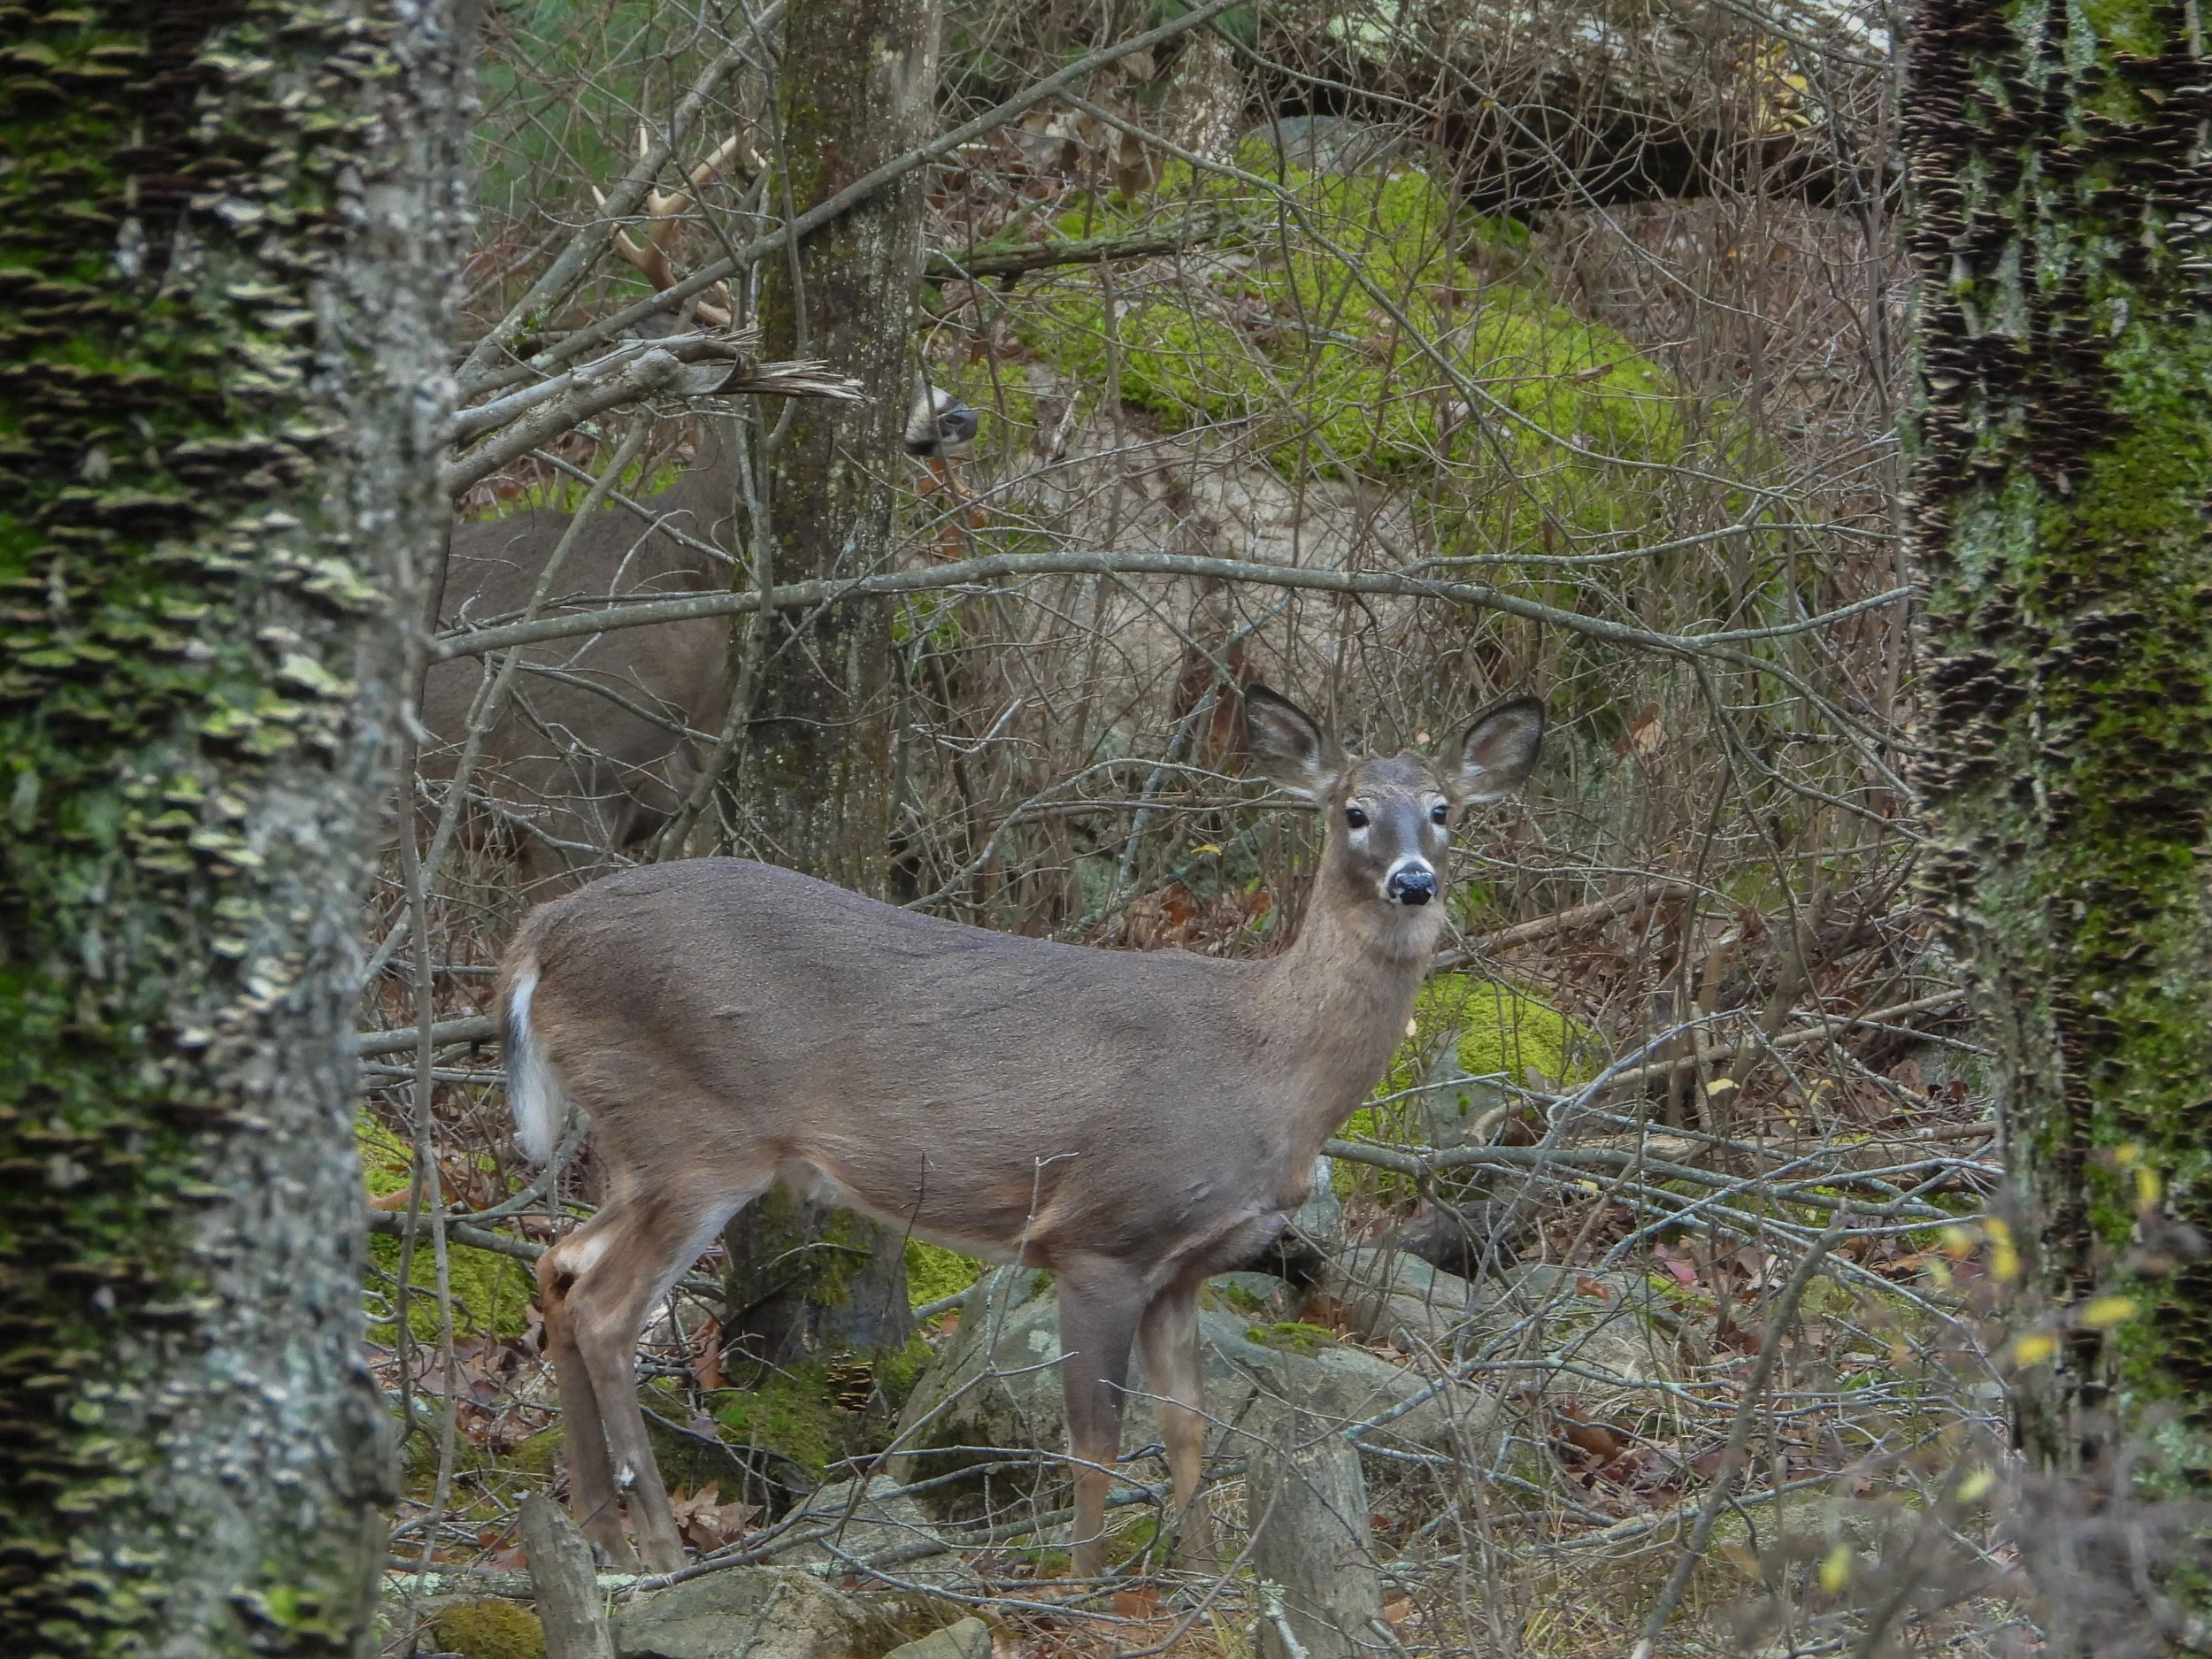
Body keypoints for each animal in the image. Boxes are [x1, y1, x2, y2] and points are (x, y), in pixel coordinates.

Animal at [498, 684, 1545, 1575]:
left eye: (1444, 809)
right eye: (1353, 811)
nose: (1413, 881)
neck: (1266, 1069)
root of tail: (539, 937)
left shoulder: (1185, 1265)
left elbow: (1189, 1428)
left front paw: (1208, 1580)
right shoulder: (1099, 1236)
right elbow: (1095, 1442)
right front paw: (1090, 1589)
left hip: (640, 1141)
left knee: (561, 1261)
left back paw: (601, 1535)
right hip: (694, 1134)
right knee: (608, 1308)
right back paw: (659, 1543)